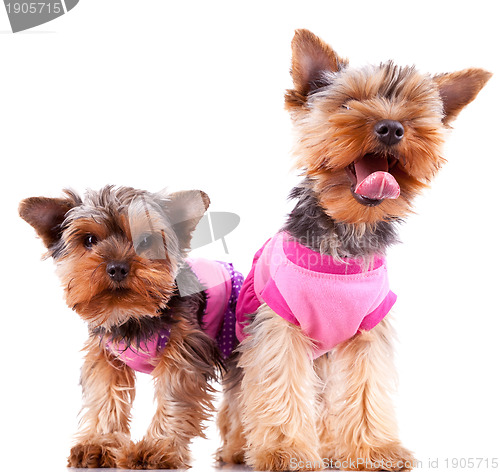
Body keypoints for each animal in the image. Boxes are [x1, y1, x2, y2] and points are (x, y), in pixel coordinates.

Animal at [20, 186, 243, 470]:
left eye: (146, 240)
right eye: (89, 240)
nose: (117, 267)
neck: (131, 315)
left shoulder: (183, 351)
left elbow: (174, 397)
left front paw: (157, 448)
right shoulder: (105, 356)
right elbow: (105, 396)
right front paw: (99, 443)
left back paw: (237, 448)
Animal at [217, 29, 490, 472]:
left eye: (414, 114)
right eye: (347, 104)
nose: (391, 128)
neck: (346, 232)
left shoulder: (368, 330)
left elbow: (365, 387)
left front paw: (373, 450)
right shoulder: (279, 326)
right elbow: (279, 385)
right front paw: (285, 451)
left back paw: (329, 448)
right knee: (241, 401)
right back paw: (239, 448)